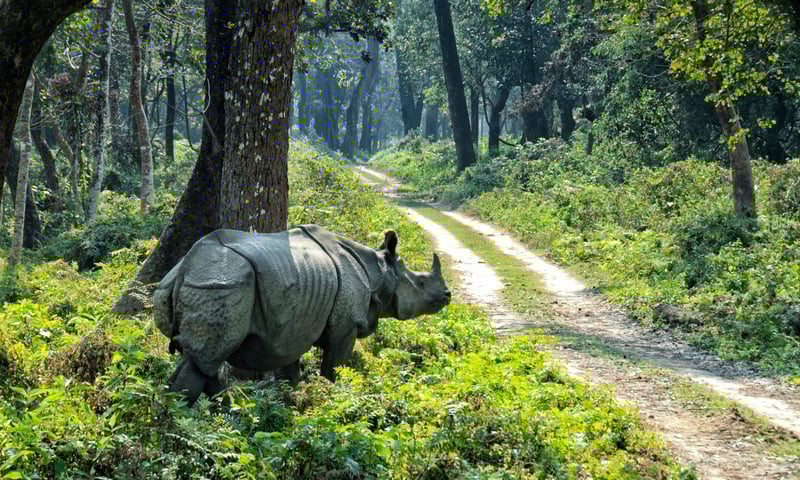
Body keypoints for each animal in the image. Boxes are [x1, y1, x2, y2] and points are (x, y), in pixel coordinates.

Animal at [153, 224, 451, 405]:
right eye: (421, 283)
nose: (448, 295)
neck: (378, 271)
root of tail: (187, 268)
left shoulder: (292, 329)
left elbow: (289, 371)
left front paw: (293, 402)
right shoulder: (346, 328)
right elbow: (334, 369)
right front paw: (330, 400)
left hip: (188, 283)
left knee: (205, 362)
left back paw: (230, 412)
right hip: (221, 283)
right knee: (203, 361)